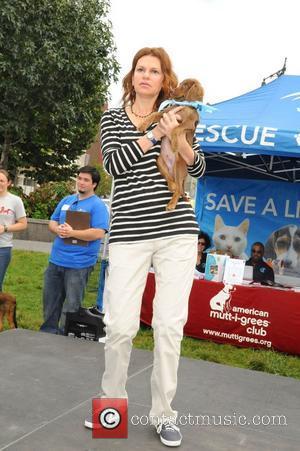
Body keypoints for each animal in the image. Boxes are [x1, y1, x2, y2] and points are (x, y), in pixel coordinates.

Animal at [138, 78, 204, 211]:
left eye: (185, 85)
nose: (172, 91)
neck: (184, 105)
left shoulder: (188, 124)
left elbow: (176, 128)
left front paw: (174, 143)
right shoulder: (165, 113)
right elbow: (153, 114)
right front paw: (143, 125)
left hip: (178, 166)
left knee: (179, 190)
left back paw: (171, 204)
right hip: (159, 161)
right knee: (171, 181)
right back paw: (171, 185)